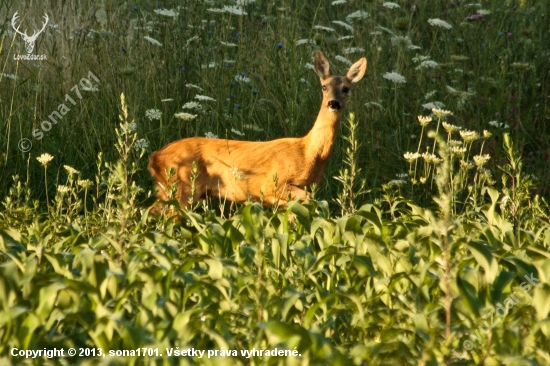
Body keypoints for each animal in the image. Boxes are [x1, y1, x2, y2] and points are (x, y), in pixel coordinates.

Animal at [149, 52, 368, 209]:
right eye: (324, 87)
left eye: (346, 89)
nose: (333, 103)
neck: (309, 153)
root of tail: (155, 157)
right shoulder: (272, 184)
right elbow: (306, 200)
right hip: (183, 187)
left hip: (168, 189)